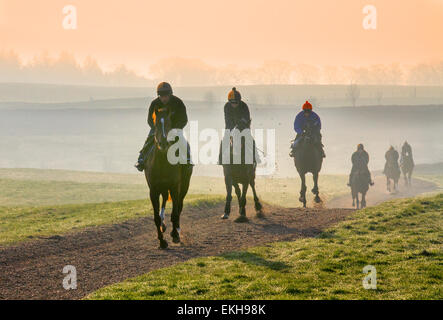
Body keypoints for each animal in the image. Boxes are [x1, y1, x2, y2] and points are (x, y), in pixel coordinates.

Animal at [145, 107, 193, 250]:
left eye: (168, 123)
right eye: (156, 125)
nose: (163, 142)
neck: (162, 162)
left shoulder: (174, 187)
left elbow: (175, 212)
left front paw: (175, 235)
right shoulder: (153, 190)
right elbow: (156, 217)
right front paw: (162, 241)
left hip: (184, 185)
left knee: (179, 206)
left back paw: (176, 229)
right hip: (163, 188)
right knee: (165, 200)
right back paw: (164, 225)